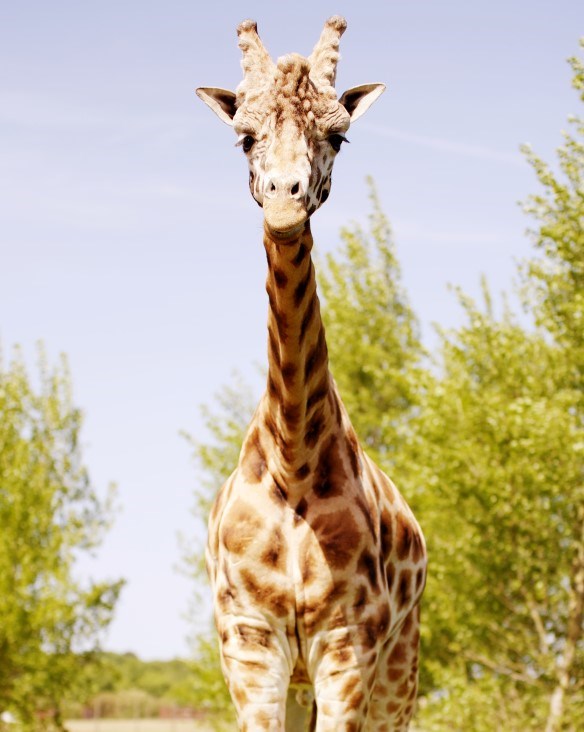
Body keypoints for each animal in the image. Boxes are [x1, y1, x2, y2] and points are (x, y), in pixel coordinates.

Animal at [198, 17, 426, 732]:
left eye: (338, 135)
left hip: (399, 672)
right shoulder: (250, 644)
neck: (293, 459)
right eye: (244, 136)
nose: (283, 200)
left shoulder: (350, 646)